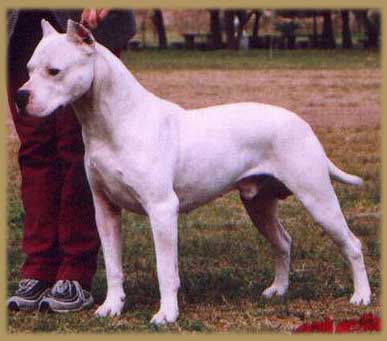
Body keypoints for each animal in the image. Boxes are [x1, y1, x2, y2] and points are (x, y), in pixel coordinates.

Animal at [15, 20, 372, 324]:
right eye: (28, 70)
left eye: (54, 71)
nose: (20, 96)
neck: (113, 122)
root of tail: (302, 122)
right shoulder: (105, 210)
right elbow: (114, 266)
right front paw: (111, 307)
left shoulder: (161, 210)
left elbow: (165, 269)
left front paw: (166, 314)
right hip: (259, 204)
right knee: (283, 242)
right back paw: (278, 290)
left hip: (317, 199)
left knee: (352, 244)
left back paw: (361, 296)